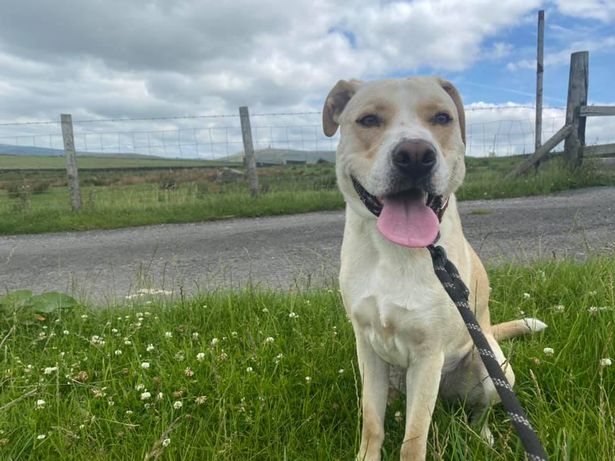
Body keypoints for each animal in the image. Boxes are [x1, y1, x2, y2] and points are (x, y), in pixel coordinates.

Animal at [322, 77, 548, 458]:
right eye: (368, 120)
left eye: (442, 118)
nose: (415, 155)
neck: (396, 250)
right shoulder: (367, 347)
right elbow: (372, 422)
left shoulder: (428, 356)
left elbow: (414, 440)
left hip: (491, 368)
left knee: (481, 409)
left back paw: (483, 436)